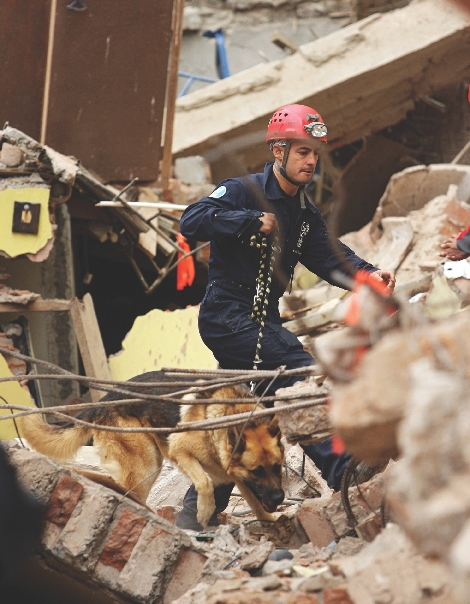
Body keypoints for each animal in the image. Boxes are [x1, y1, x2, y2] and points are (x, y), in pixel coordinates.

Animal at [22, 370, 284, 528]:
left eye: (277, 467)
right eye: (257, 471)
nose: (280, 497)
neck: (229, 415)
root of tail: (102, 402)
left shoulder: (234, 472)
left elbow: (254, 499)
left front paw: (270, 519)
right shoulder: (180, 451)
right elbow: (205, 482)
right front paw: (203, 512)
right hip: (147, 466)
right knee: (130, 493)